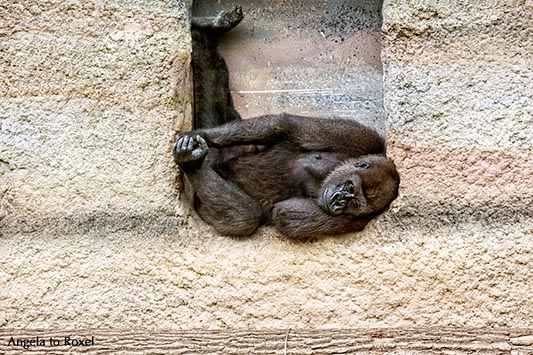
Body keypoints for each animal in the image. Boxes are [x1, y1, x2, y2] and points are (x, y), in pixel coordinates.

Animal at [172, 5, 396, 241]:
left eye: (354, 202)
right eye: (350, 187)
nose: (339, 200)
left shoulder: (361, 219)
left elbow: (285, 214)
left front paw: (193, 163)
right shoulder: (360, 137)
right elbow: (284, 126)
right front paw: (200, 135)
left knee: (244, 217)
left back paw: (194, 167)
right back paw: (208, 29)